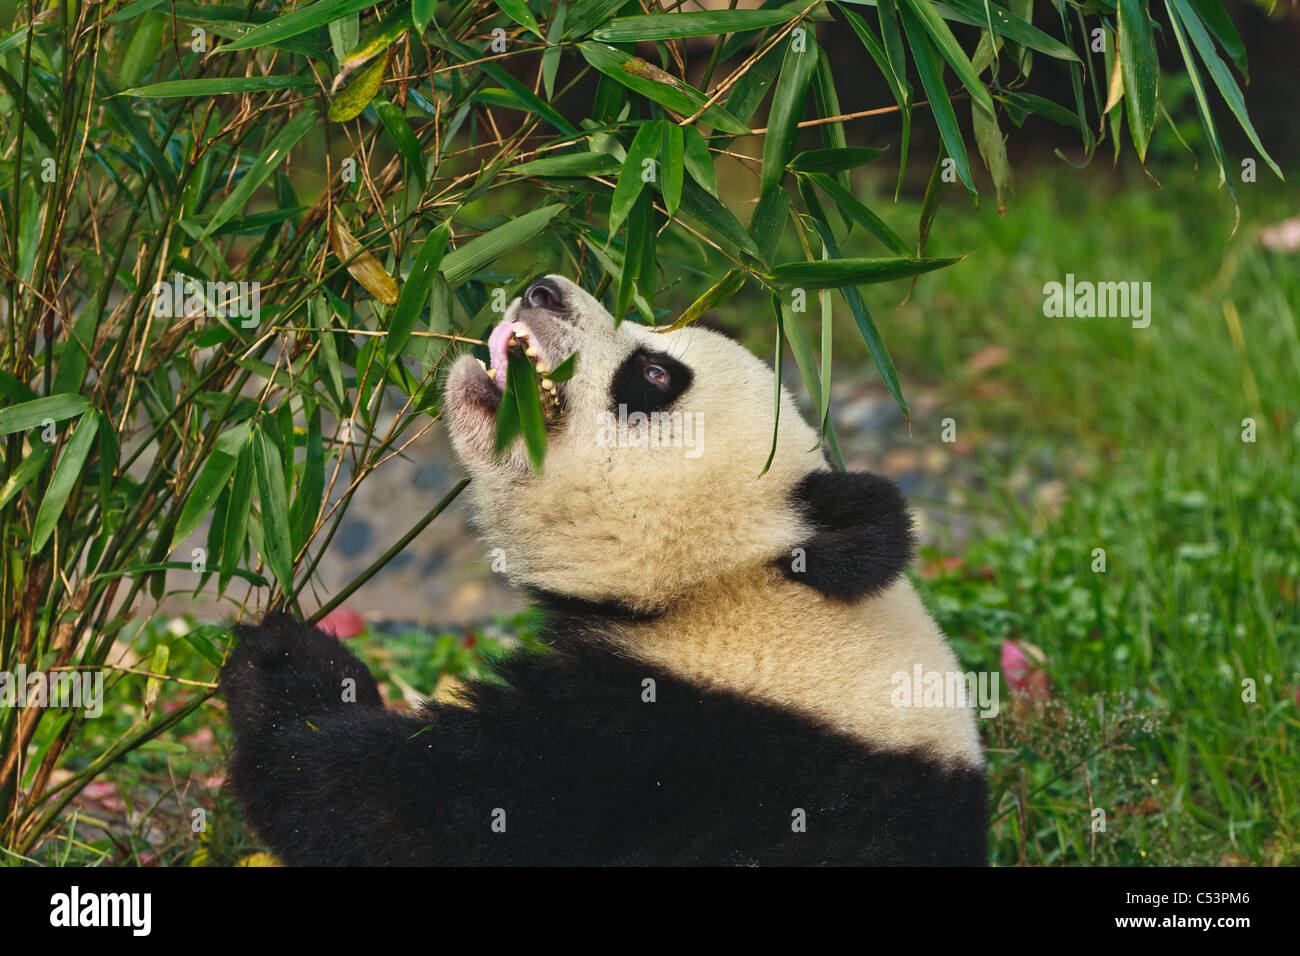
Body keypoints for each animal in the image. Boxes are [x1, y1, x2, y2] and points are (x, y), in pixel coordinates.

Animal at [220, 273, 982, 863]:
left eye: (655, 374)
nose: (543, 289)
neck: (735, 593)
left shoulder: (671, 749)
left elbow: (401, 808)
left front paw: (284, 661)